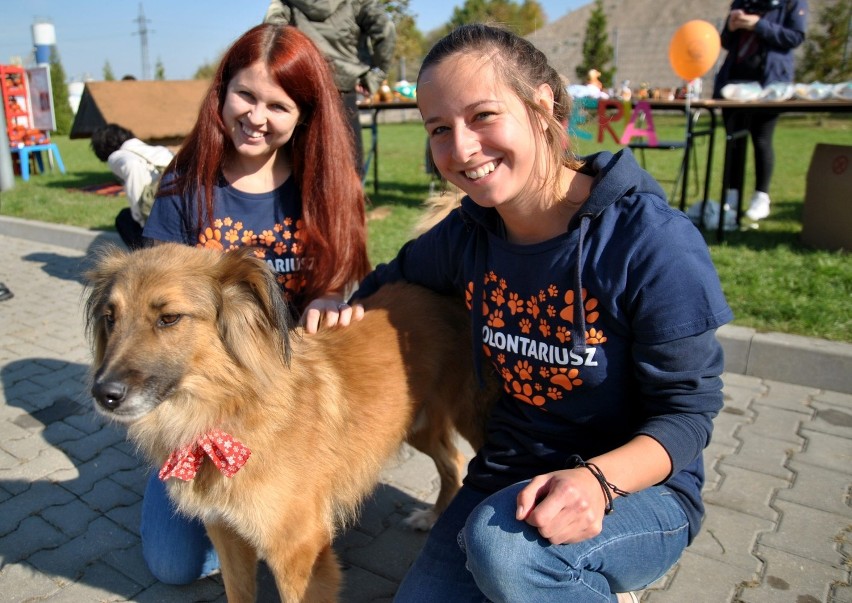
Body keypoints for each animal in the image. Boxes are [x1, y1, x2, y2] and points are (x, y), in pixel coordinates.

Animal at [85, 245, 492, 603]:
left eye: (168, 318)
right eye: (110, 317)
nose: (103, 393)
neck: (227, 413)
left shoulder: (298, 552)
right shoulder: (226, 535)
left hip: (471, 420)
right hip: (414, 424)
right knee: (452, 460)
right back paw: (434, 516)